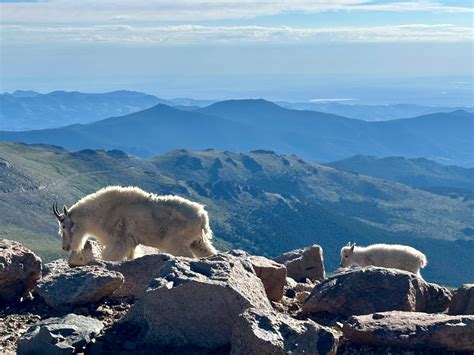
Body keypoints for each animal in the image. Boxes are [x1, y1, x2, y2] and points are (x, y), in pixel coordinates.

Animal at [53, 186, 218, 262]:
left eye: (63, 226)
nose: (65, 247)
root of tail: (203, 217)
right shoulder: (131, 243)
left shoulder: (119, 241)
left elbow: (110, 256)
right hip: (198, 241)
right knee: (208, 252)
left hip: (176, 242)